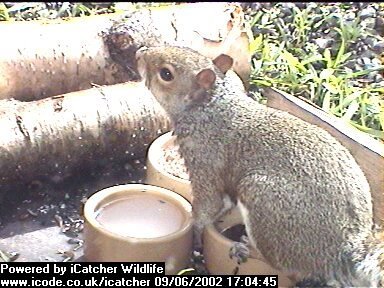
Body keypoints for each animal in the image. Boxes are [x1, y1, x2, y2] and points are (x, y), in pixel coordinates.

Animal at [136, 46, 382, 286]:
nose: (139, 53)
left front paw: (195, 231)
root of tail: (342, 250)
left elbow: (209, 205)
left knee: (283, 265)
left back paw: (248, 249)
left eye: (166, 74)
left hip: (261, 197)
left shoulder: (205, 161)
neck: (212, 108)